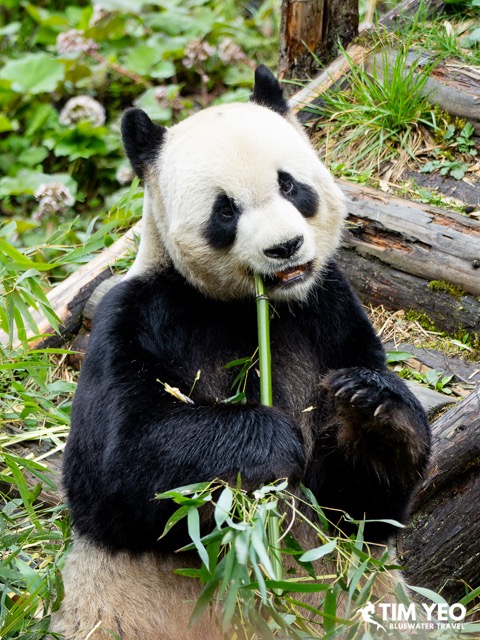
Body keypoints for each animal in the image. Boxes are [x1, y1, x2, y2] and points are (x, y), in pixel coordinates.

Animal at [51, 65, 431, 640]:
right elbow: (112, 470)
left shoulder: (330, 311)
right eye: (225, 209)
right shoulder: (137, 315)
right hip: (117, 611)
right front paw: (267, 441)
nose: (284, 248)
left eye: (289, 184)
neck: (252, 307)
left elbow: (359, 510)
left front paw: (372, 408)